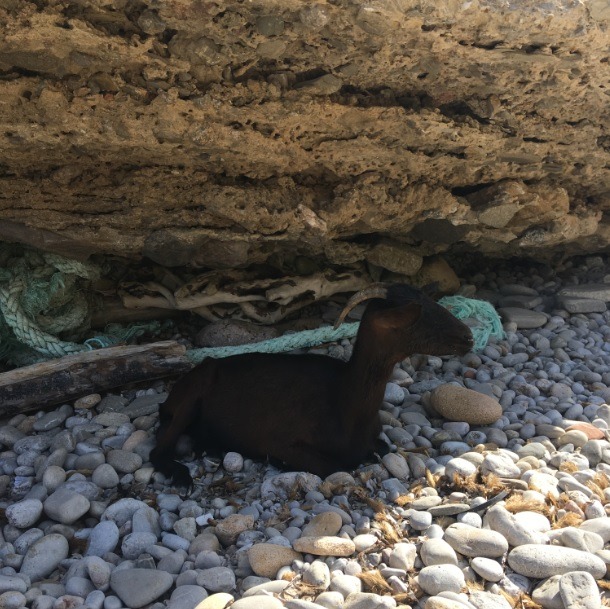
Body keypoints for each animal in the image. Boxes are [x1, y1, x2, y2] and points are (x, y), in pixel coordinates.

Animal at [150, 282, 472, 486]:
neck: (344, 400)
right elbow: (335, 467)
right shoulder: (280, 441)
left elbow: (380, 449)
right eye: (418, 317)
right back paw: (182, 475)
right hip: (191, 398)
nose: (468, 337)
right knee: (158, 449)